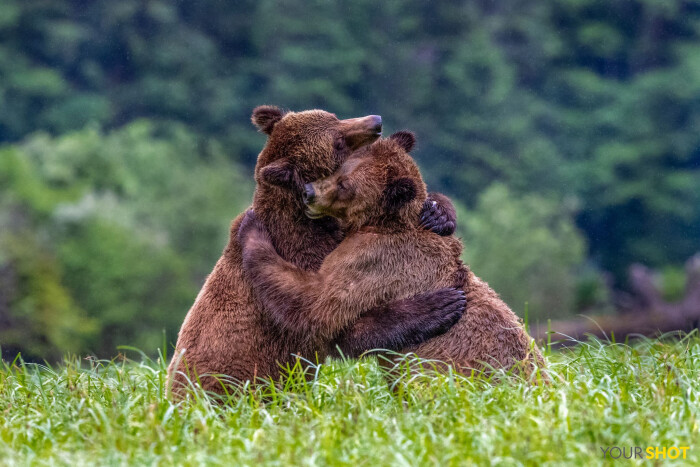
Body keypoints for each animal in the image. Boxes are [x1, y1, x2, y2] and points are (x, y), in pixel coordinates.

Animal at [167, 107, 464, 394]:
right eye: (338, 142)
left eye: (334, 117)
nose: (376, 122)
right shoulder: (306, 254)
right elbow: (327, 317)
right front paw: (438, 306)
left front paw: (437, 214)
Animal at [238, 130, 548, 378]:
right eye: (337, 169)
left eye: (345, 185)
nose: (308, 193)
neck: (380, 221)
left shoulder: (374, 259)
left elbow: (318, 303)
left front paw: (252, 230)